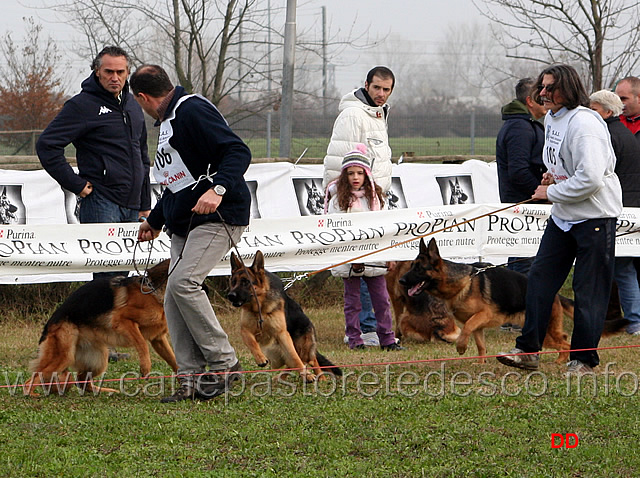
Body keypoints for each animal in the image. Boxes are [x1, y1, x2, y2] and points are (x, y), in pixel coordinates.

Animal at [24, 262, 178, 396]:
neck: (153, 290)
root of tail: (48, 326)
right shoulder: (122, 320)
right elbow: (142, 344)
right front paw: (145, 367)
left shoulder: (158, 339)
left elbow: (173, 359)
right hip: (64, 356)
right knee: (32, 379)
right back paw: (31, 394)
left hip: (99, 360)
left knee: (81, 381)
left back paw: (104, 391)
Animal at [228, 250, 342, 380]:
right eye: (233, 282)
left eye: (246, 282)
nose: (230, 295)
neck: (260, 309)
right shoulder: (245, 330)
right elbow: (252, 343)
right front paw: (260, 358)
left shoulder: (282, 334)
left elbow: (294, 358)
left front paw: (307, 375)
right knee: (293, 363)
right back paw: (281, 377)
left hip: (303, 347)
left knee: (310, 360)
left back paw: (321, 378)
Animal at [398, 237, 572, 364]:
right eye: (411, 266)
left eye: (419, 268)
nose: (400, 280)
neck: (462, 283)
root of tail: (556, 295)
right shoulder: (478, 326)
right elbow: (481, 346)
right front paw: (481, 364)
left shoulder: (483, 316)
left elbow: (466, 328)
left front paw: (461, 346)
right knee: (563, 340)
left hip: (545, 335)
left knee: (566, 344)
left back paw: (562, 362)